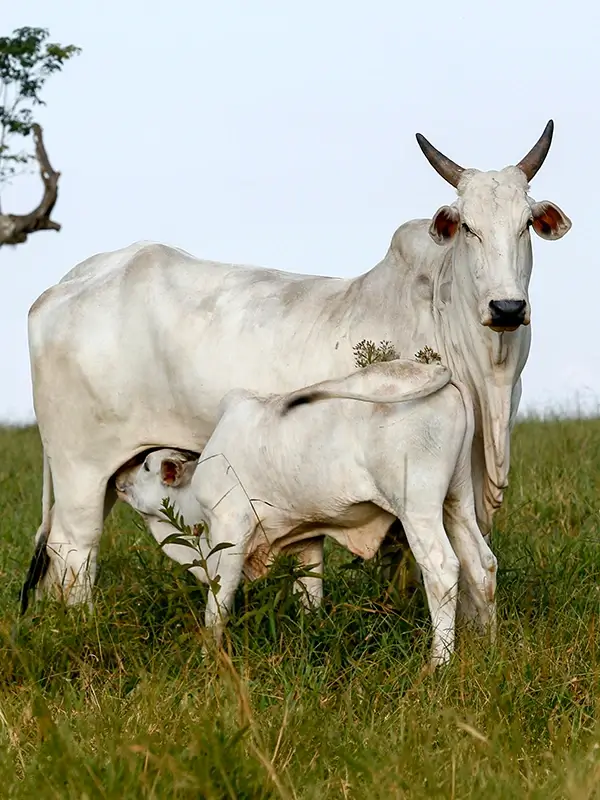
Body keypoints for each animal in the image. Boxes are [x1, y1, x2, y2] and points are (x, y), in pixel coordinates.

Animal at [22, 120, 570, 612]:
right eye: (468, 229)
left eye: (525, 225)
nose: (507, 308)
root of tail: (67, 283)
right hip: (80, 469)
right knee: (74, 554)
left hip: (111, 470)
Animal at [113, 359, 498, 668]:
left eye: (146, 466)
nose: (119, 479)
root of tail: (433, 370)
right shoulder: (305, 539)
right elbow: (310, 595)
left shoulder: (230, 531)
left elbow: (218, 604)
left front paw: (208, 660)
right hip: (457, 501)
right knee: (482, 565)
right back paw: (488, 643)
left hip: (418, 508)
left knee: (443, 570)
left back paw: (438, 664)